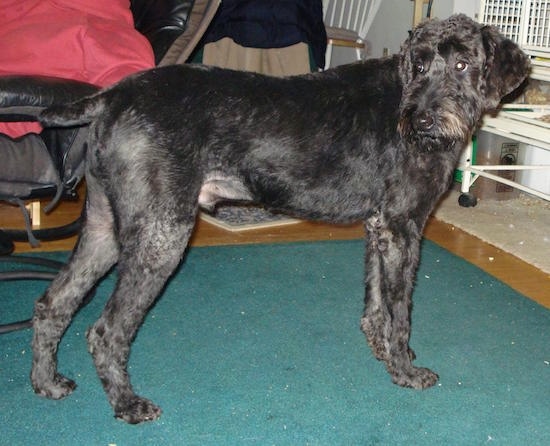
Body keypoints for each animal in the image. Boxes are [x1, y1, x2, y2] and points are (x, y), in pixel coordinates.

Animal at [33, 15, 532, 424]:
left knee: (53, 304)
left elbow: (375, 304)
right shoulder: (403, 227)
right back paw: (127, 404)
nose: (422, 120)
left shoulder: (380, 227)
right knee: (106, 330)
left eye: (463, 65)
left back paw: (47, 383)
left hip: (105, 227)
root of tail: (114, 95)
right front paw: (406, 370)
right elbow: (400, 310)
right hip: (161, 236)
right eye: (422, 65)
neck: (405, 103)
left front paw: (384, 353)